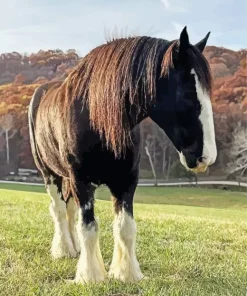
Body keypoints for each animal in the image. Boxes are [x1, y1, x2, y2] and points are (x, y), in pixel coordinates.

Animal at [27, 27, 216, 284]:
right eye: (188, 93)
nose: (207, 157)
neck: (95, 116)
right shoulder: (81, 181)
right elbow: (89, 227)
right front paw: (91, 275)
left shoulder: (126, 181)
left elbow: (125, 227)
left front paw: (126, 273)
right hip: (50, 174)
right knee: (58, 210)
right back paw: (64, 249)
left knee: (69, 210)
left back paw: (74, 249)